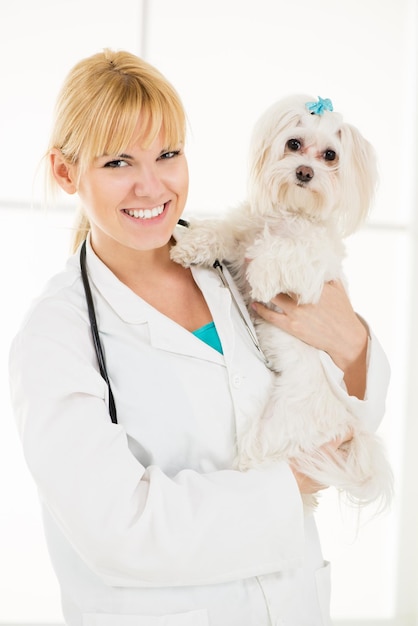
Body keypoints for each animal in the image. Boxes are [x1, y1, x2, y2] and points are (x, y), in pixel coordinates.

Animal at [170, 94, 392, 512]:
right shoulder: (240, 233)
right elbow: (225, 233)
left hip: (271, 436)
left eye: (330, 155)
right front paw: (192, 246)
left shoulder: (311, 275)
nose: (305, 172)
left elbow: (279, 251)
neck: (289, 214)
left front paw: (261, 272)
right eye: (293, 144)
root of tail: (348, 428)